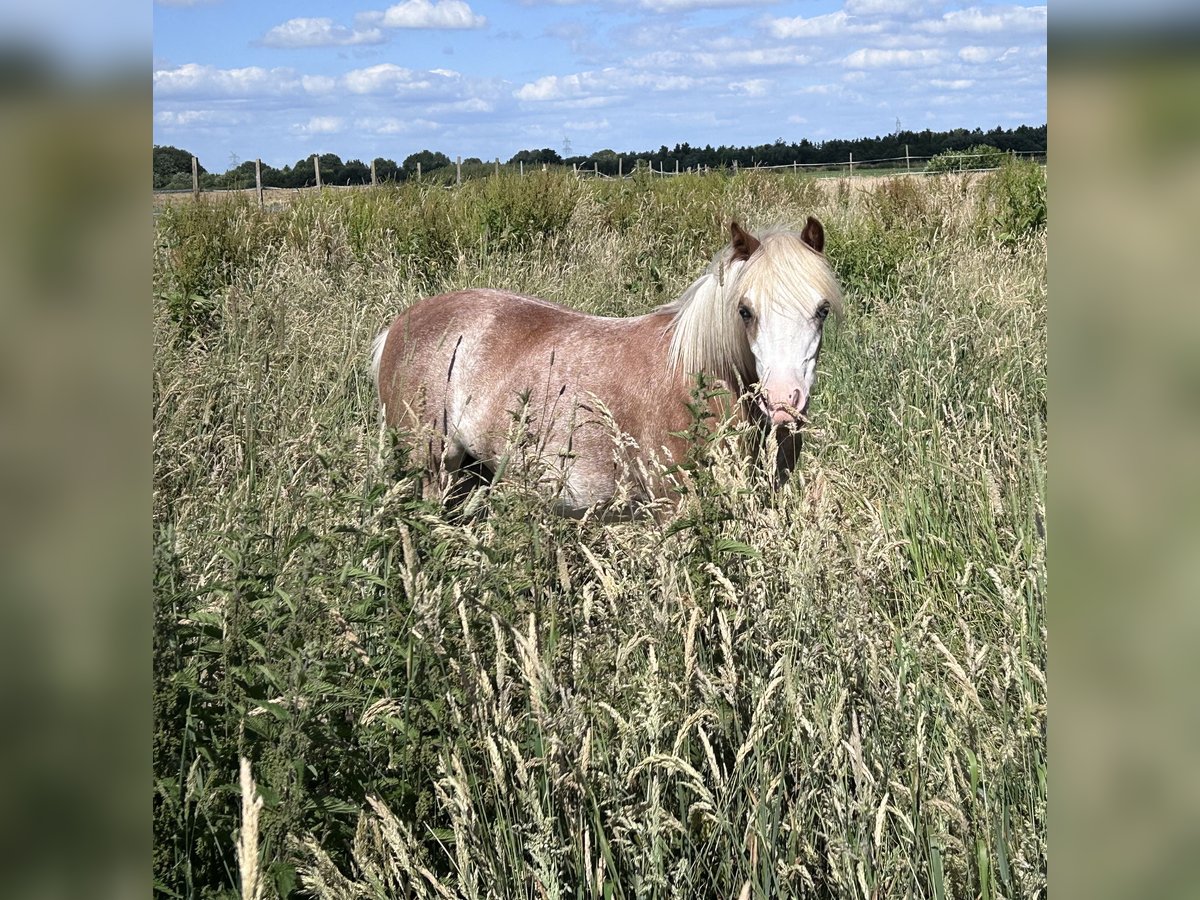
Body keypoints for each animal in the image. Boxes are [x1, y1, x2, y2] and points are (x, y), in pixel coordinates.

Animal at [372, 219, 844, 518]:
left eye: (822, 310)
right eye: (745, 311)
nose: (783, 401)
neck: (699, 380)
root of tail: (400, 324)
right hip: (432, 468)